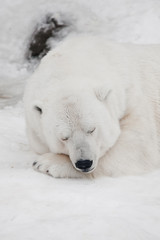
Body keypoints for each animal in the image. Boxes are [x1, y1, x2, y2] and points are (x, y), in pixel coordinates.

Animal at [23, 34, 160, 178]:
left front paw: (46, 163)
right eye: (63, 137)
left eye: (92, 129)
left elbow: (136, 147)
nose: (84, 163)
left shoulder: (132, 98)